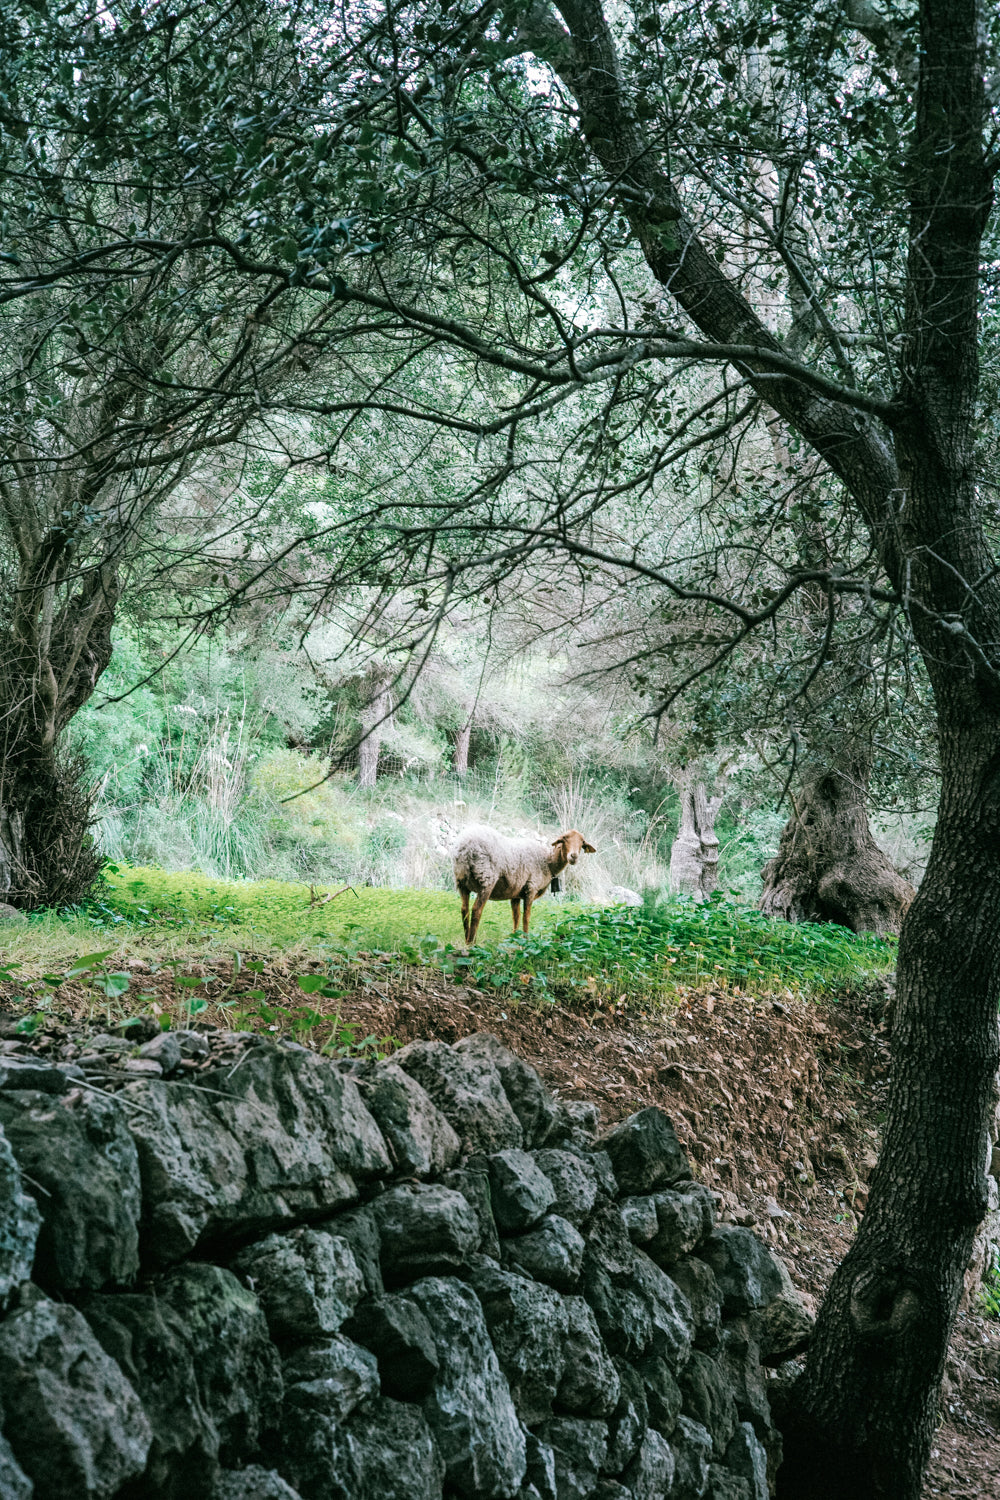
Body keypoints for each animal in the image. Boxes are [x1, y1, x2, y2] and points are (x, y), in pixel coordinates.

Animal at [453, 825, 597, 946]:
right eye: (564, 839)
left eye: (582, 842)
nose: (574, 856)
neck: (548, 862)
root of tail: (465, 846)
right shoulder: (531, 888)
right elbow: (526, 917)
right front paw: (526, 941)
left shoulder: (515, 894)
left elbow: (515, 917)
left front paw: (515, 939)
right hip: (486, 879)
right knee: (476, 910)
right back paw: (472, 943)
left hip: (461, 882)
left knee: (464, 910)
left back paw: (467, 938)